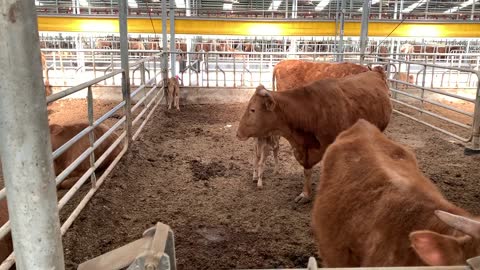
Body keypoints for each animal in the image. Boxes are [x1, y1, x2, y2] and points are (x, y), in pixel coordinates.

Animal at [235, 67, 390, 202]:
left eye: (253, 109)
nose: (238, 133)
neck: (312, 111)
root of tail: (375, 72)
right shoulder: (305, 150)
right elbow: (307, 172)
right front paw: (305, 194)